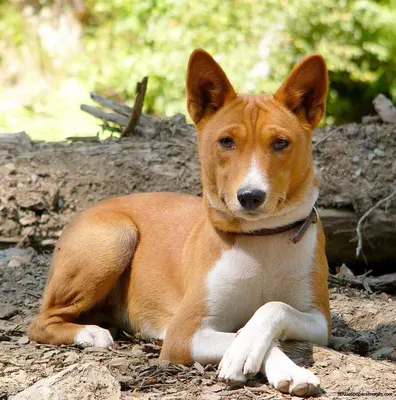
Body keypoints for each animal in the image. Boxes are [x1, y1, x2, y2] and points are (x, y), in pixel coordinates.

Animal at [28, 49, 332, 396]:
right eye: (226, 142)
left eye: (281, 143)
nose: (250, 196)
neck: (260, 241)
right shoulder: (184, 334)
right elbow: (240, 334)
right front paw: (253, 357)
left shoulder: (319, 321)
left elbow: (272, 308)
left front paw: (269, 359)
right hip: (115, 238)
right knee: (39, 322)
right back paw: (91, 333)